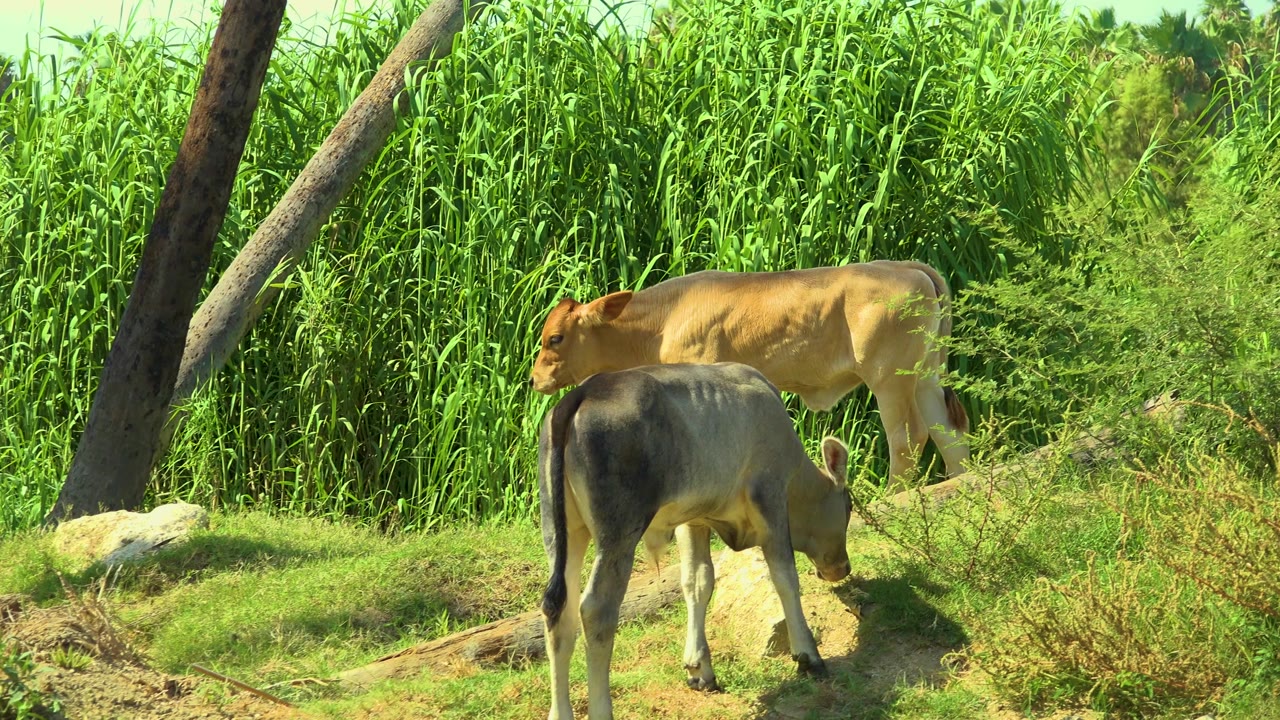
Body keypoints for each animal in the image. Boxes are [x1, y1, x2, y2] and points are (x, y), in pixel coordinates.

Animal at [530, 260, 970, 492]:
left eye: (555, 337)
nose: (535, 379)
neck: (663, 320)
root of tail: (907, 266)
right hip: (926, 375)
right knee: (947, 433)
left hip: (890, 378)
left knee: (908, 437)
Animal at [539, 362, 853, 720]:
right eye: (849, 507)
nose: (843, 567)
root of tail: (583, 391)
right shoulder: (769, 495)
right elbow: (785, 578)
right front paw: (808, 655)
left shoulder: (693, 519)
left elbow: (697, 580)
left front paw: (699, 667)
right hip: (618, 533)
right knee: (595, 610)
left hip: (561, 530)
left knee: (559, 611)